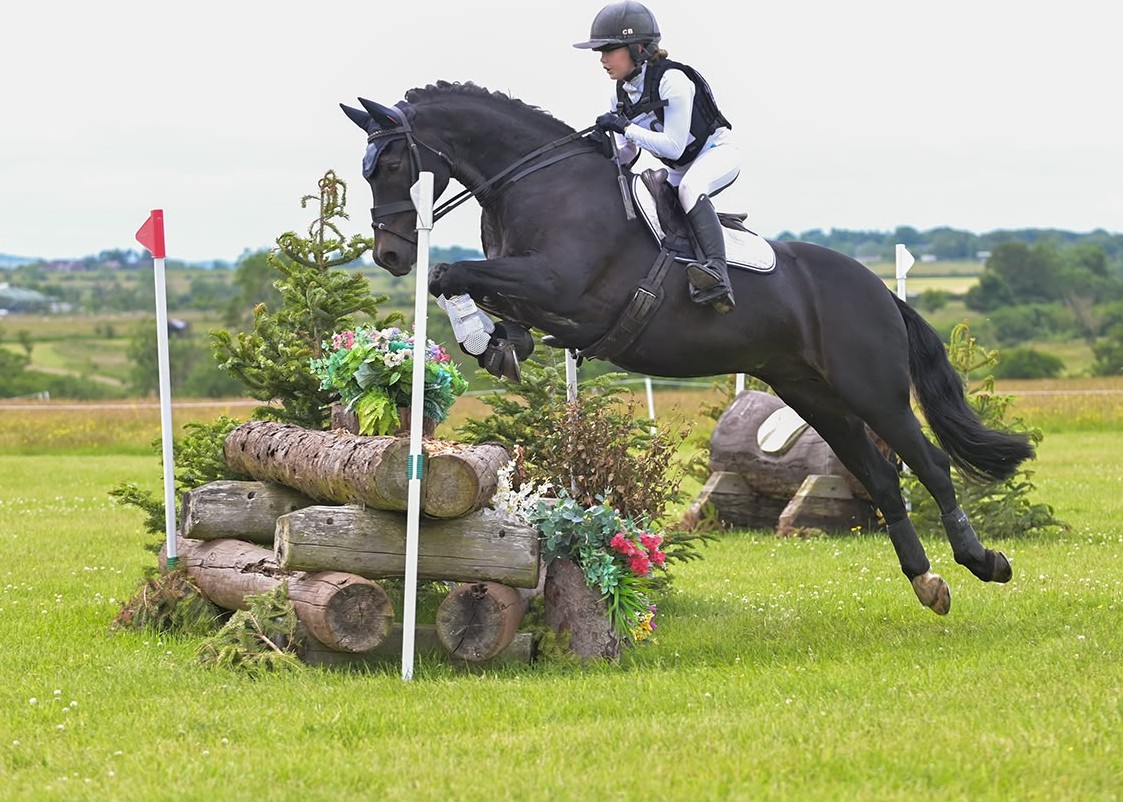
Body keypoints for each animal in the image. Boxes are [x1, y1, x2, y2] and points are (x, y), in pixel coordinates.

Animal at [340, 80, 1035, 616]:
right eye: (366, 171)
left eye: (393, 166)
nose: (391, 257)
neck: (538, 183)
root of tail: (879, 290)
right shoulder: (533, 294)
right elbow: (469, 290)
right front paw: (489, 343)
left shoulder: (561, 289)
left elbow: (450, 272)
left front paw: (479, 332)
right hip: (812, 394)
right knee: (883, 479)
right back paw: (927, 581)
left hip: (872, 390)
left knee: (931, 466)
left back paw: (983, 561)